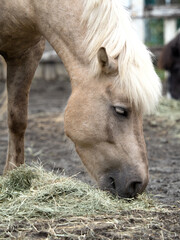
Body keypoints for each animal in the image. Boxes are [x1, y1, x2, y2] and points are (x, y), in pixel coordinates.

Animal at [0, 0, 160, 197]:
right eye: (120, 110)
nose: (138, 184)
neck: (29, 6)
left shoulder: (27, 53)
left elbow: (17, 120)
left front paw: (12, 174)